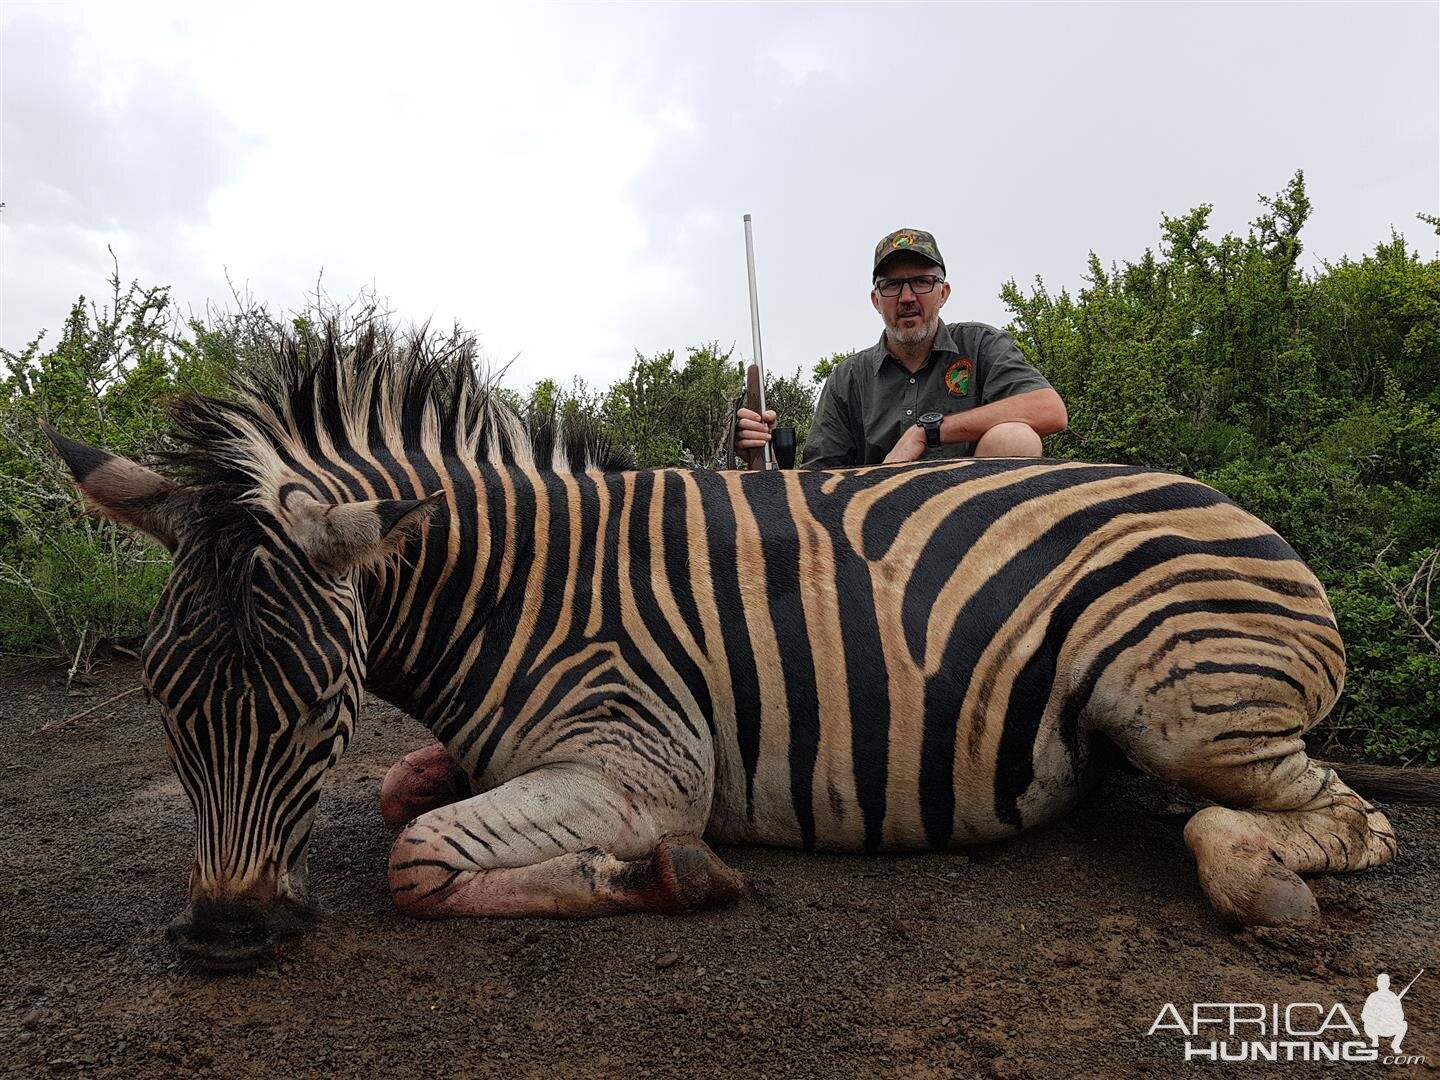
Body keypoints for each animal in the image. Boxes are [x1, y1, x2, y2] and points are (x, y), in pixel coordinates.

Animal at [39, 329, 1434, 973]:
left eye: (320, 706)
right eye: (162, 700)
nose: (222, 938)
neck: (512, 587)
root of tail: (1246, 510)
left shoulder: (646, 763)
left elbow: (419, 857)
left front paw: (664, 876)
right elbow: (408, 793)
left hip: (1179, 701)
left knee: (1328, 821)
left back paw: (1265, 885)